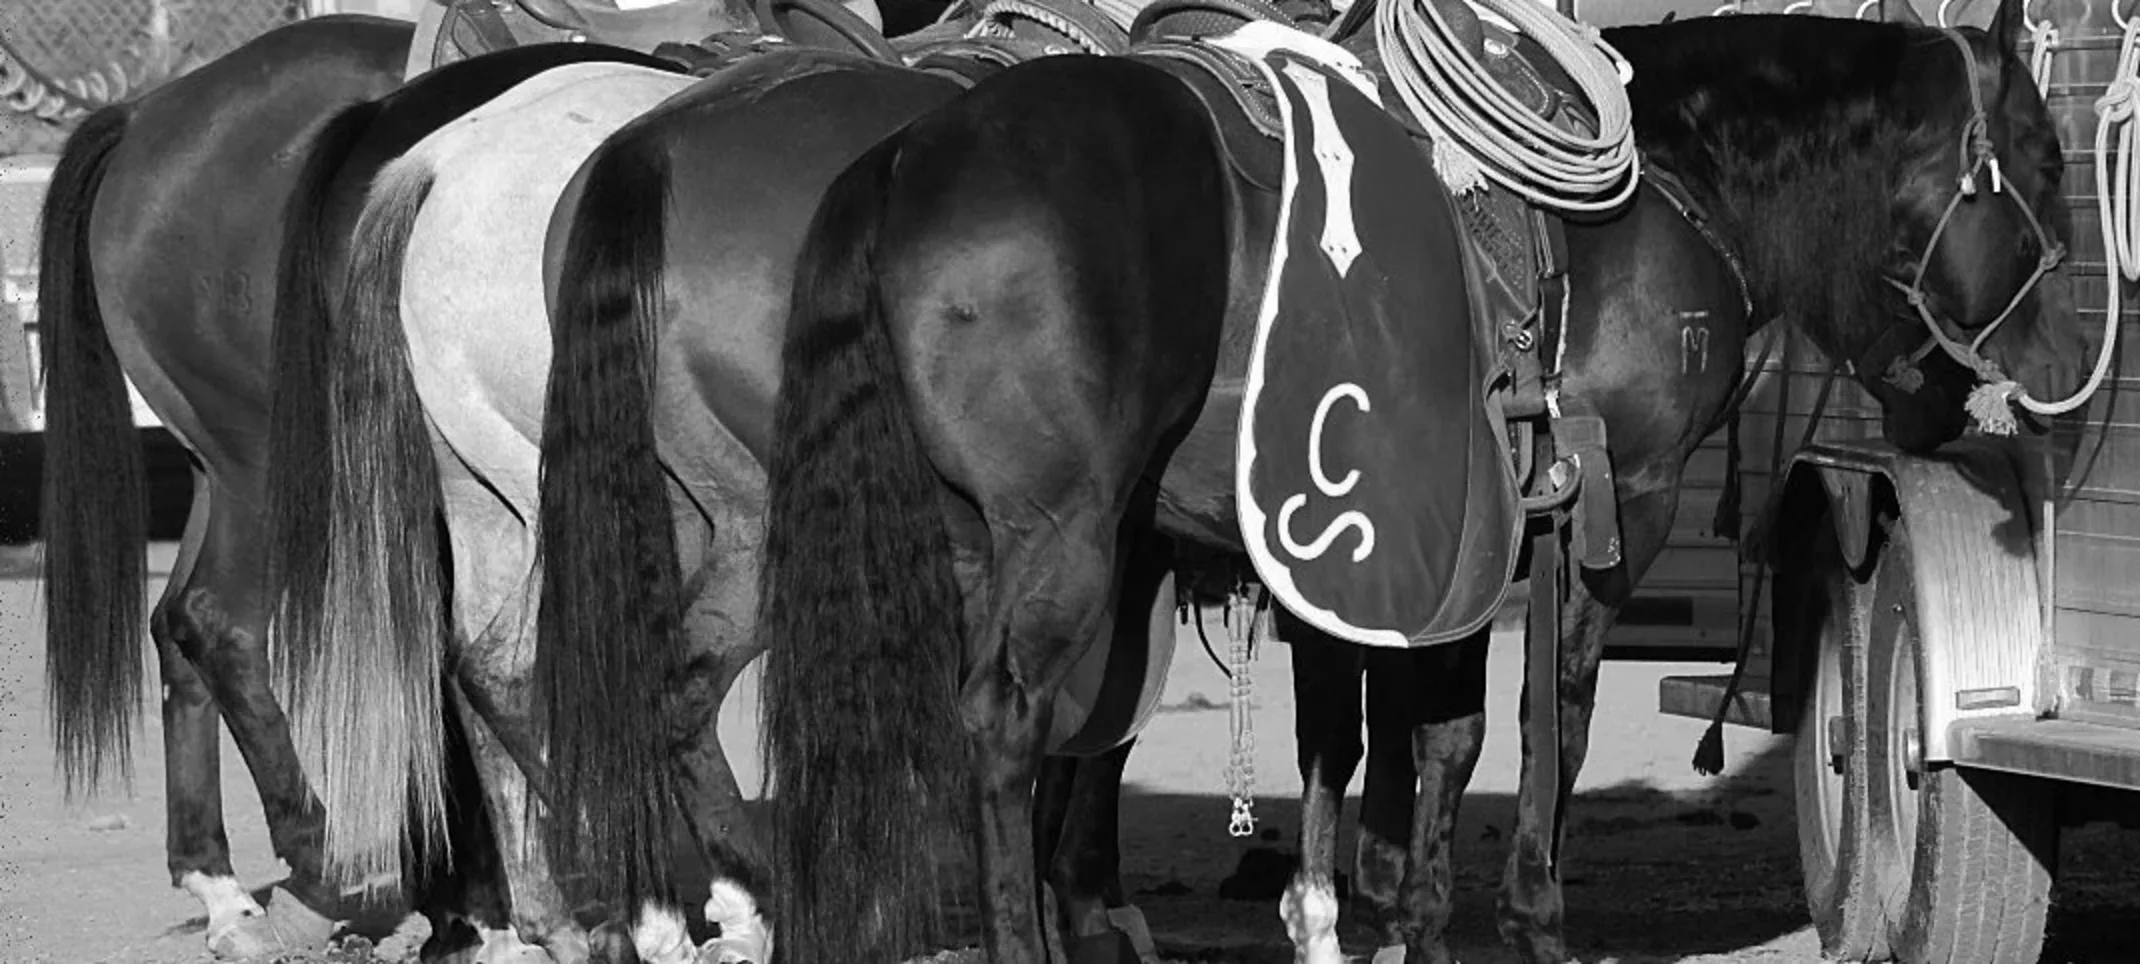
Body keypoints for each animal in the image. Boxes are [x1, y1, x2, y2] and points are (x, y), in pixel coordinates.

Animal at [744, 6, 2084, 964]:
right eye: (2041, 161)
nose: (2060, 365)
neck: (1672, 182)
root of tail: (907, 157)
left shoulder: (1448, 533)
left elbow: (1423, 732)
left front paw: (1409, 917)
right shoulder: (1615, 509)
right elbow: (1546, 718)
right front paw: (1530, 916)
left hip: (975, 540)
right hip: (1062, 537)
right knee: (1007, 724)